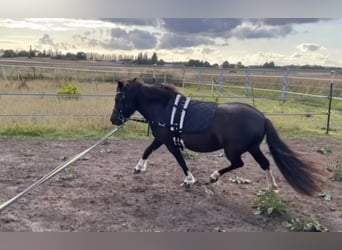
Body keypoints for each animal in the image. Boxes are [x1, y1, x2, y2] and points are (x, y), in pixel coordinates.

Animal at [111, 78, 324, 195]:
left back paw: (214, 176)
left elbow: (180, 161)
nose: (113, 119)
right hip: (253, 148)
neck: (164, 108)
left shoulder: (170, 143)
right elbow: (147, 150)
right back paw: (271, 188)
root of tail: (262, 117)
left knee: (239, 164)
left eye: (119, 98)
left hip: (233, 150)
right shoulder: (161, 139)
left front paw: (189, 180)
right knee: (265, 163)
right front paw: (138, 168)